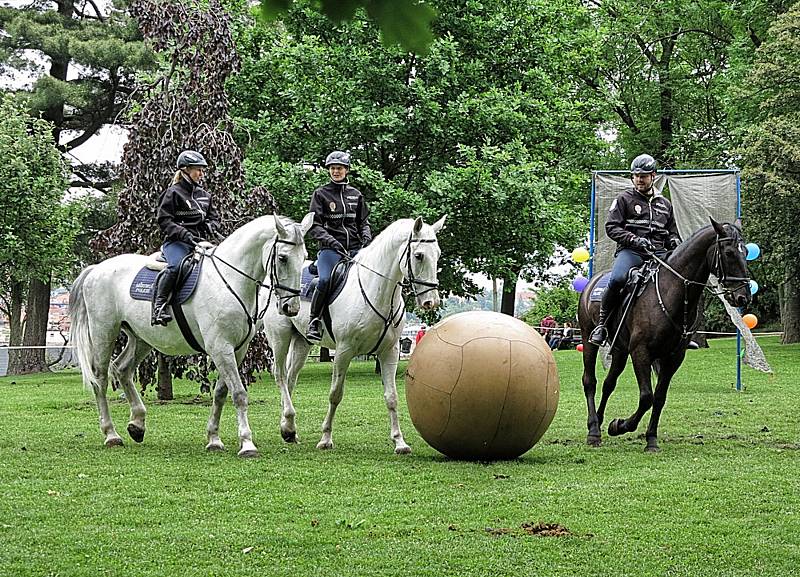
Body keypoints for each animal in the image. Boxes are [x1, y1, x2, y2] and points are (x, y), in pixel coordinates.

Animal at [69, 214, 312, 456]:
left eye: (304, 257)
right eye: (282, 258)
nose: (291, 308)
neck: (229, 281)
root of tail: (96, 269)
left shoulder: (236, 349)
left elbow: (221, 393)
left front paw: (214, 438)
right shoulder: (220, 347)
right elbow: (239, 394)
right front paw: (247, 443)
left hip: (141, 338)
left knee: (122, 369)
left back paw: (137, 425)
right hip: (104, 333)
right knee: (100, 379)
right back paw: (111, 434)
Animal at [266, 214, 446, 452]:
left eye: (438, 255)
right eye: (418, 255)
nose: (430, 302)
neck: (375, 290)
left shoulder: (389, 352)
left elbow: (392, 397)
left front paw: (399, 441)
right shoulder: (344, 351)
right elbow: (335, 394)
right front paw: (325, 438)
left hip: (302, 343)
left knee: (290, 378)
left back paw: (288, 429)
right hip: (280, 338)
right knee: (280, 375)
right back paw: (288, 426)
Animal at [580, 219, 752, 450]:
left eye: (746, 252)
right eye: (729, 252)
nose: (743, 297)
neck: (672, 290)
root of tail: (592, 282)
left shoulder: (673, 356)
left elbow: (659, 397)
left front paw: (650, 439)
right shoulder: (641, 352)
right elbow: (647, 397)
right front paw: (621, 425)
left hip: (619, 350)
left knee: (609, 383)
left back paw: (599, 421)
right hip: (589, 340)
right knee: (590, 381)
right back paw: (593, 430)